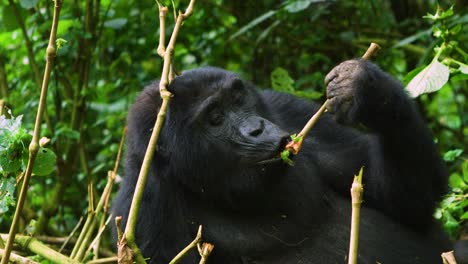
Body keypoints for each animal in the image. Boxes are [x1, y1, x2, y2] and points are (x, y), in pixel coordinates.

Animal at [111, 60, 452, 264]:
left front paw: (364, 86)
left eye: (239, 99)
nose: (258, 128)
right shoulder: (144, 214)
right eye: (215, 118)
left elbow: (406, 204)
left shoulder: (284, 108)